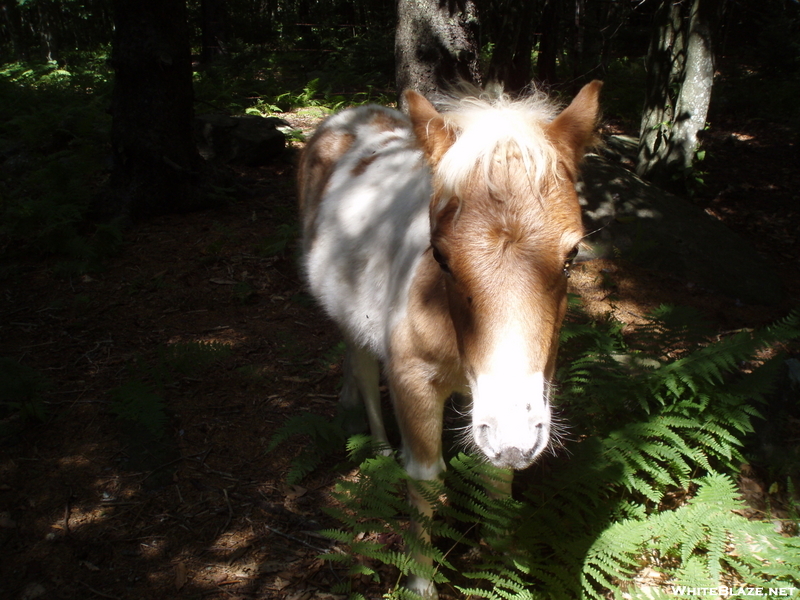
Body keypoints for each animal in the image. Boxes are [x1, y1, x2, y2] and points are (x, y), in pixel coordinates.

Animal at [298, 81, 600, 596]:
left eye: (572, 255)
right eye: (438, 255)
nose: (515, 438)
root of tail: (349, 115)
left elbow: (496, 476)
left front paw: (501, 556)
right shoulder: (414, 381)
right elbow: (425, 479)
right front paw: (421, 583)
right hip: (348, 317)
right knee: (363, 366)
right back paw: (380, 448)